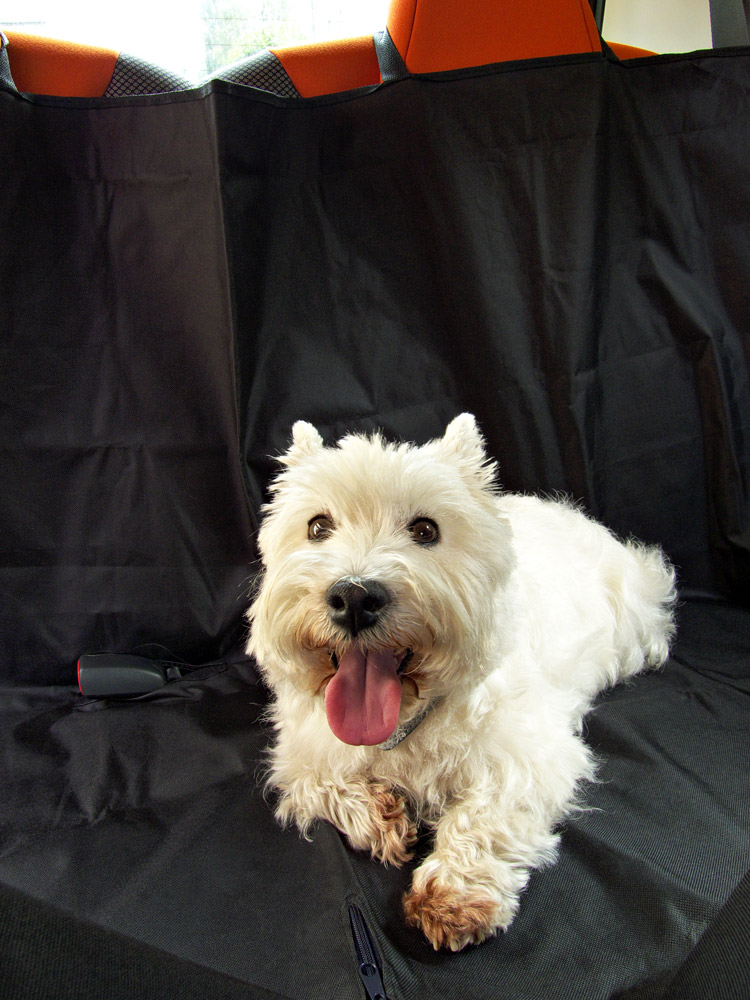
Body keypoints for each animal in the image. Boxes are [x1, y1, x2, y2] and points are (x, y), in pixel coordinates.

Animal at [247, 414, 676, 950]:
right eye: (317, 526)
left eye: (426, 530)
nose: (354, 597)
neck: (406, 719)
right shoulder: (301, 753)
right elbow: (319, 781)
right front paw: (379, 816)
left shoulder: (529, 752)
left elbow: (486, 815)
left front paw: (453, 894)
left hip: (636, 606)